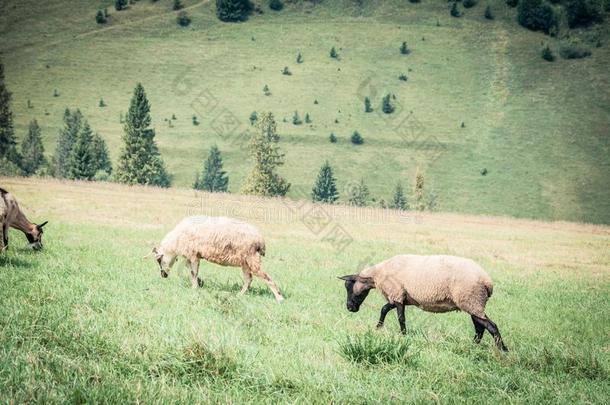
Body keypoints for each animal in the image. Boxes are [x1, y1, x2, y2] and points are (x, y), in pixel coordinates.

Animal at [153, 218, 284, 300]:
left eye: (159, 260)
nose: (163, 275)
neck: (175, 242)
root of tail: (261, 240)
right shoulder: (193, 256)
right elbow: (193, 273)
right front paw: (198, 284)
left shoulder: (194, 255)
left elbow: (194, 273)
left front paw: (194, 288)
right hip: (245, 262)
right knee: (249, 279)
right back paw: (239, 295)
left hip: (252, 258)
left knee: (266, 278)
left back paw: (279, 298)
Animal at [340, 254, 506, 348]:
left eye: (349, 287)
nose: (349, 308)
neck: (377, 275)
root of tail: (487, 281)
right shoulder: (399, 296)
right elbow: (384, 309)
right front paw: (378, 327)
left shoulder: (397, 294)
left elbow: (401, 318)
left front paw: (404, 335)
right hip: (474, 303)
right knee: (480, 327)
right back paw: (474, 346)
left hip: (472, 300)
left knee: (491, 326)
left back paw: (503, 350)